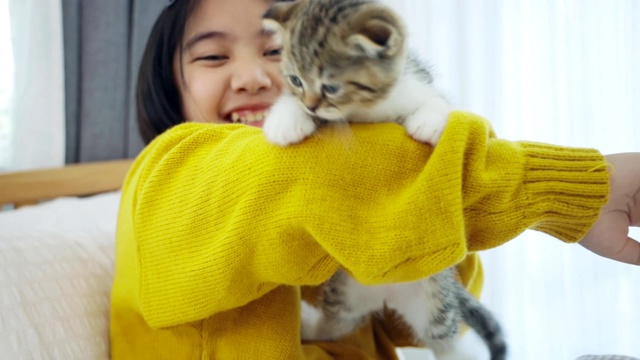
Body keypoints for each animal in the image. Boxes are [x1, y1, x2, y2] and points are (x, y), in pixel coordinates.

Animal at [260, 0, 450, 147]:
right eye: (295, 80)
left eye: (331, 88)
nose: (310, 107)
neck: (364, 108)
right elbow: (291, 98)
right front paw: (284, 122)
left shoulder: (416, 81)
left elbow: (440, 99)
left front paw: (427, 122)